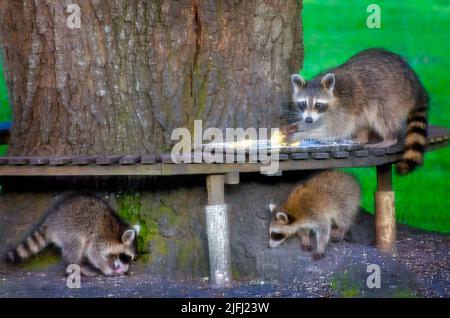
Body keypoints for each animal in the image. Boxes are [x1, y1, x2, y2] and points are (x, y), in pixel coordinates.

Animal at [4, 193, 140, 278]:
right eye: (127, 258)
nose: (126, 270)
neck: (116, 231)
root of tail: (51, 220)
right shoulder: (100, 238)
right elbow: (93, 253)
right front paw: (106, 269)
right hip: (69, 229)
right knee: (76, 246)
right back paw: (76, 267)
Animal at [288, 48, 428, 175]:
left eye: (318, 104)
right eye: (303, 103)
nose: (308, 119)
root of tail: (417, 83)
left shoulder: (342, 108)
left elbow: (336, 130)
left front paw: (304, 134)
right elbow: (320, 122)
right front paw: (300, 125)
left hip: (394, 97)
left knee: (382, 117)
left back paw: (389, 138)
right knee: (362, 120)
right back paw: (362, 138)